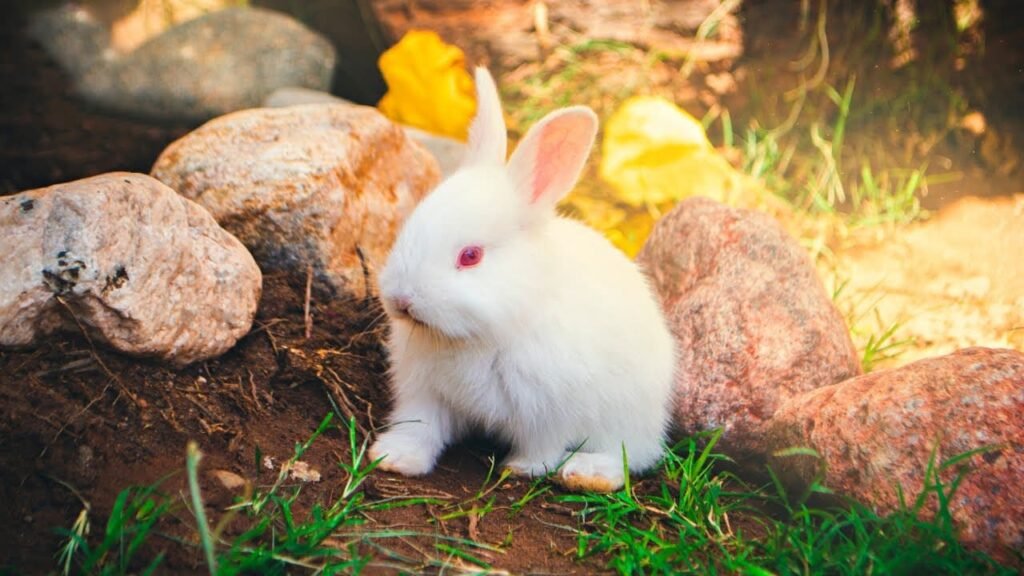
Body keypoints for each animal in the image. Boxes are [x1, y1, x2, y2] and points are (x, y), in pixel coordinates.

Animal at [368, 67, 676, 493]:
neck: (475, 336)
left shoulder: (548, 411)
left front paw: (522, 469)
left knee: (632, 454)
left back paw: (588, 474)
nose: (400, 299)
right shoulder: (424, 393)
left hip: (626, 415)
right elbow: (420, 428)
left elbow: (542, 446)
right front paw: (394, 458)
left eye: (470, 256)